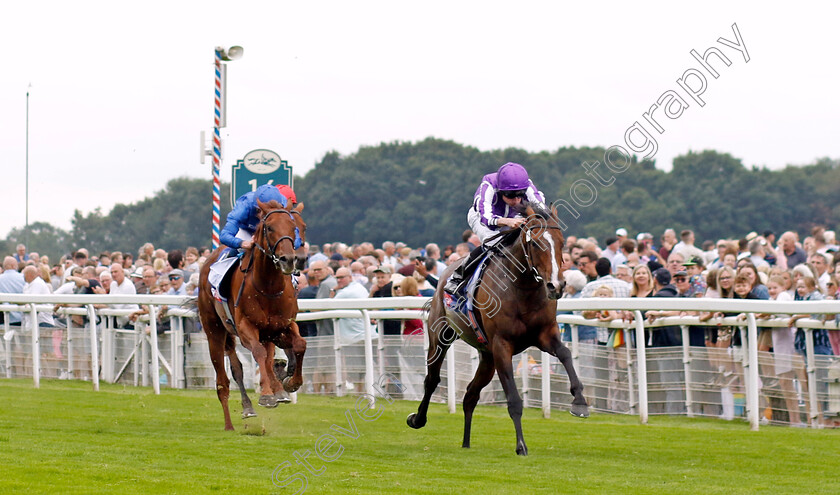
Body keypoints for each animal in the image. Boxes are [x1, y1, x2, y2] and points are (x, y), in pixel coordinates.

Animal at [198, 200, 308, 432]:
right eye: (270, 228)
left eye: (296, 226)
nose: (289, 260)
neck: (268, 286)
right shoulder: (245, 327)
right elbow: (258, 353)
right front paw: (267, 395)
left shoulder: (282, 327)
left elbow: (298, 345)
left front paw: (291, 382)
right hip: (214, 331)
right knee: (224, 380)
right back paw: (232, 421)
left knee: (257, 362)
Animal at [406, 203, 592, 456]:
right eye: (535, 243)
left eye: (562, 242)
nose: (556, 286)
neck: (522, 288)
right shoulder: (502, 344)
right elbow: (513, 399)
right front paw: (521, 445)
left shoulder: (545, 334)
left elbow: (565, 354)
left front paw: (580, 402)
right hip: (441, 336)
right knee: (432, 379)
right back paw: (418, 419)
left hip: (487, 357)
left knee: (470, 394)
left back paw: (466, 442)